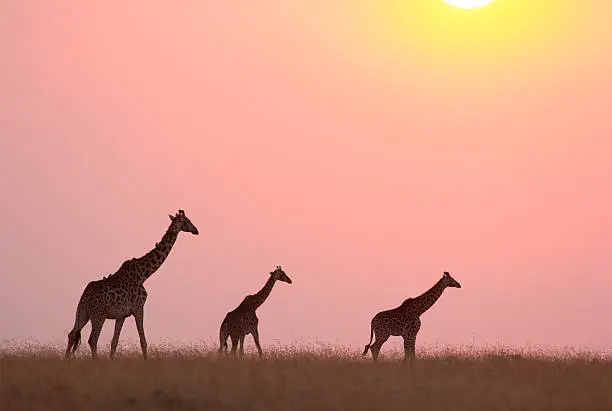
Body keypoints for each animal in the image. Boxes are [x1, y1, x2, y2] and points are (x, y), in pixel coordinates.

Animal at [64, 209, 198, 360]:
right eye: (187, 221)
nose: (196, 230)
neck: (144, 274)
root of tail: (85, 297)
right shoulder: (139, 308)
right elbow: (143, 341)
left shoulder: (121, 315)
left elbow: (114, 342)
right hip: (98, 315)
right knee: (92, 339)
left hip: (82, 312)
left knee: (72, 334)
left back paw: (66, 360)